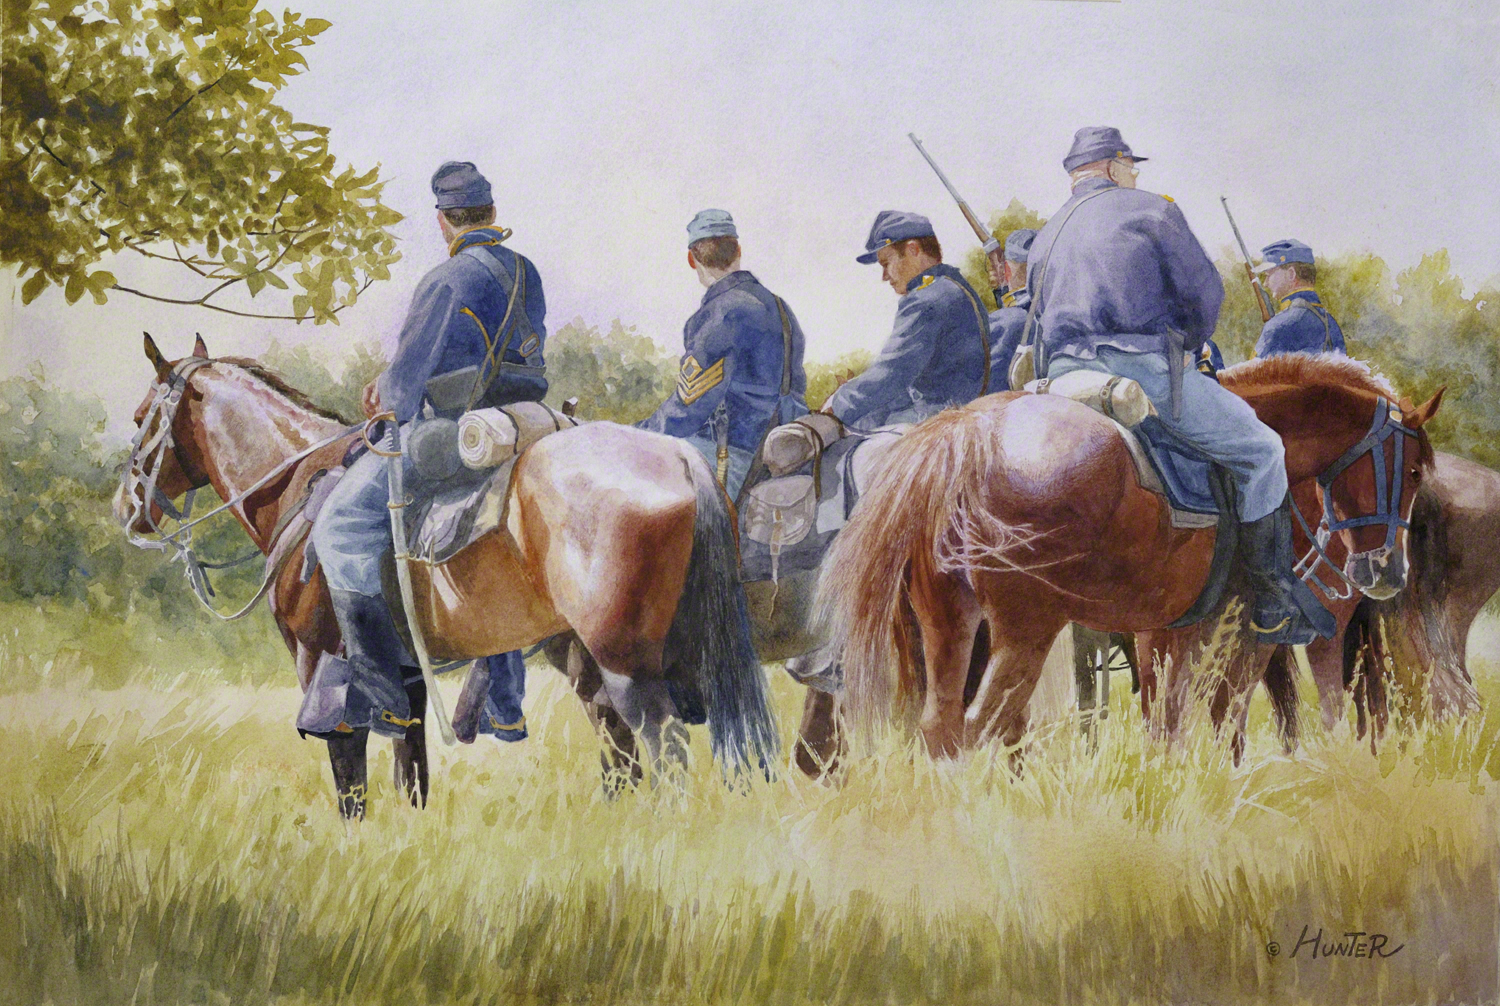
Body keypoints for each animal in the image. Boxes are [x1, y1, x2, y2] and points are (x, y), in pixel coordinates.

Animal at [113, 335, 778, 817]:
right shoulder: (405, 676)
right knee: (622, 752)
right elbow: (412, 773)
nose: (126, 508)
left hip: (625, 661)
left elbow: (350, 779)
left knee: (664, 750)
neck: (300, 485)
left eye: (142, 417)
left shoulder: (323, 665)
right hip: (600, 658)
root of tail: (680, 458)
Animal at [817, 354, 1442, 764]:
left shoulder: (1166, 631)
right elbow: (1218, 714)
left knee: (942, 729)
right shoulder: (1239, 629)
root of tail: (966, 432)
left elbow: (1169, 722)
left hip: (949, 624)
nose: (1386, 572)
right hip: (1024, 631)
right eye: (1413, 470)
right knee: (980, 727)